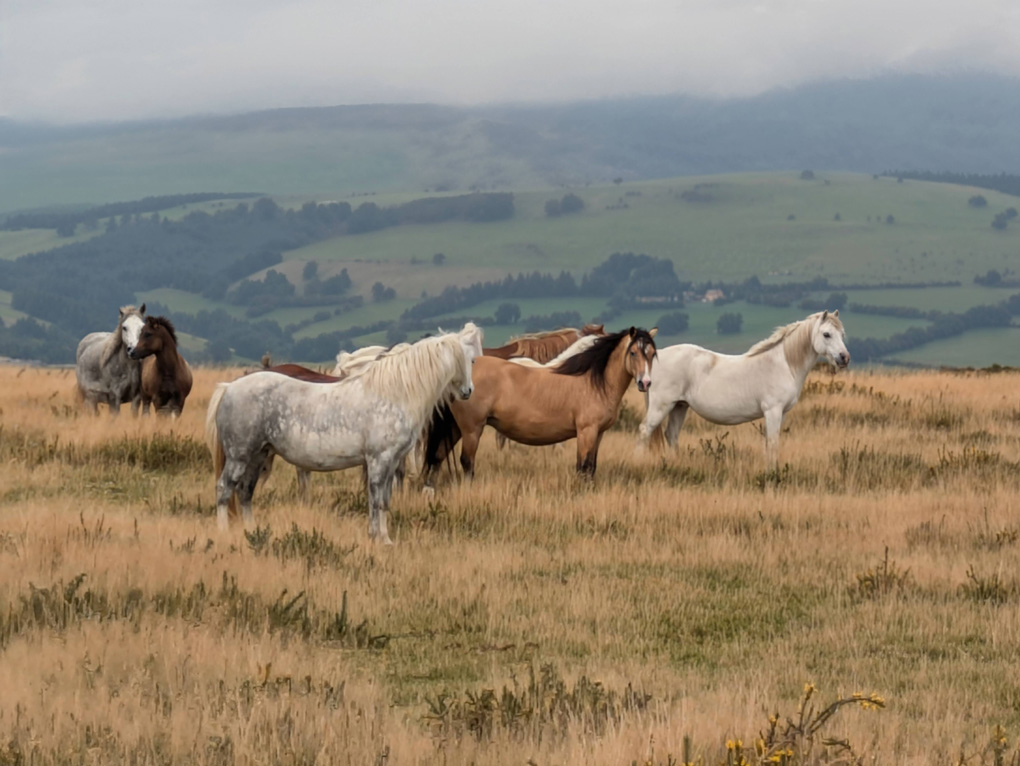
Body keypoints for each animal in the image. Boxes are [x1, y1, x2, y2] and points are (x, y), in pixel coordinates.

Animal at [208, 324, 485, 546]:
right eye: (471, 360)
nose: (469, 391)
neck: (393, 393)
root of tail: (229, 387)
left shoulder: (392, 462)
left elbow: (384, 500)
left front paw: (385, 539)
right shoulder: (379, 460)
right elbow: (375, 500)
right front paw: (377, 538)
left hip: (259, 455)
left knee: (245, 492)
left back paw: (252, 531)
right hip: (240, 456)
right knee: (224, 489)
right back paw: (224, 533)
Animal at [420, 324, 652, 485]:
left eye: (651, 354)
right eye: (633, 352)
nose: (645, 382)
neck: (593, 380)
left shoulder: (598, 433)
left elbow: (591, 467)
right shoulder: (586, 431)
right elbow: (583, 467)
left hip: (455, 427)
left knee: (437, 456)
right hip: (471, 429)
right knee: (466, 461)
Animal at [636, 308, 852, 465]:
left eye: (842, 334)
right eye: (826, 334)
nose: (844, 358)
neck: (783, 364)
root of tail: (655, 358)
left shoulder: (782, 413)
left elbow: (771, 443)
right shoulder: (772, 411)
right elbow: (772, 443)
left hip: (680, 406)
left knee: (671, 435)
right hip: (661, 406)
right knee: (644, 432)